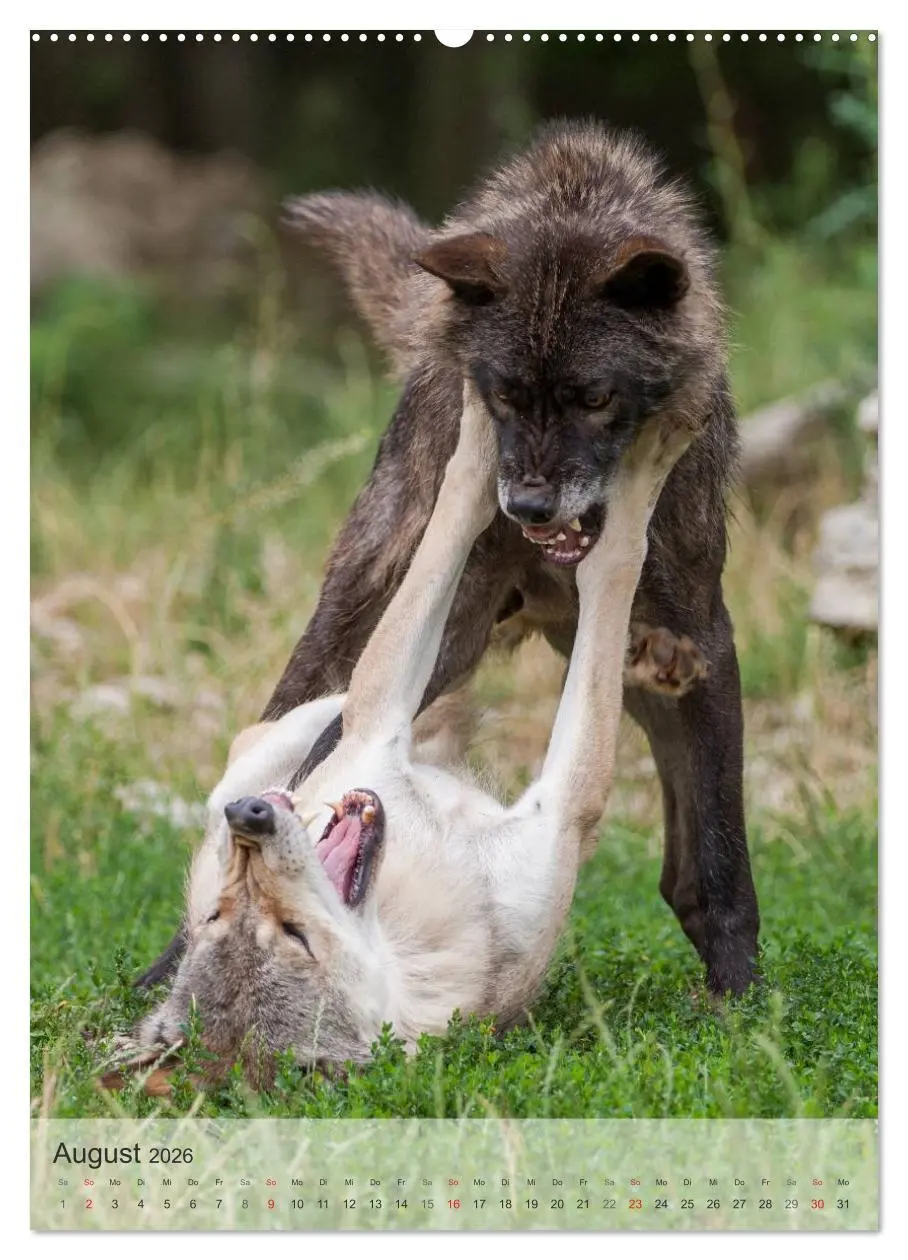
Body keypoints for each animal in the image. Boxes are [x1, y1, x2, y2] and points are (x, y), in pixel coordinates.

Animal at [122, 385, 700, 1081]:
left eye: (217, 913)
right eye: (292, 935)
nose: (249, 818)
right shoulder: (561, 803)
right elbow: (601, 564)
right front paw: (635, 461)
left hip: (289, 742)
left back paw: (654, 662)